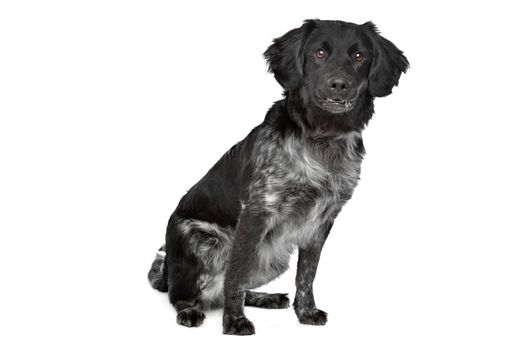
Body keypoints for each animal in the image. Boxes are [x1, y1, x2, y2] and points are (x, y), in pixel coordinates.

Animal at [148, 19, 410, 336]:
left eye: (359, 56)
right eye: (319, 53)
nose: (339, 84)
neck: (323, 139)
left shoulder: (322, 221)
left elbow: (306, 275)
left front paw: (305, 312)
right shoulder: (257, 212)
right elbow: (236, 275)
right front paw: (234, 322)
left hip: (273, 257)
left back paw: (266, 298)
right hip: (203, 242)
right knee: (182, 293)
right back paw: (189, 309)